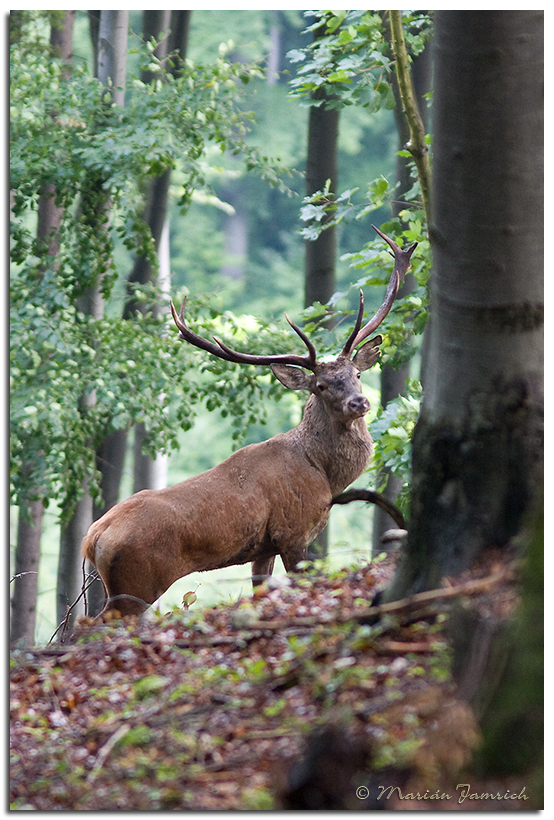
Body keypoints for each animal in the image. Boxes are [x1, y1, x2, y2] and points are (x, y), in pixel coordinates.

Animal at [80, 226, 412, 616]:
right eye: (321, 385)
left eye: (357, 374)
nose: (359, 402)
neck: (325, 475)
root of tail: (93, 538)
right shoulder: (293, 532)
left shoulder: (264, 547)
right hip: (136, 584)